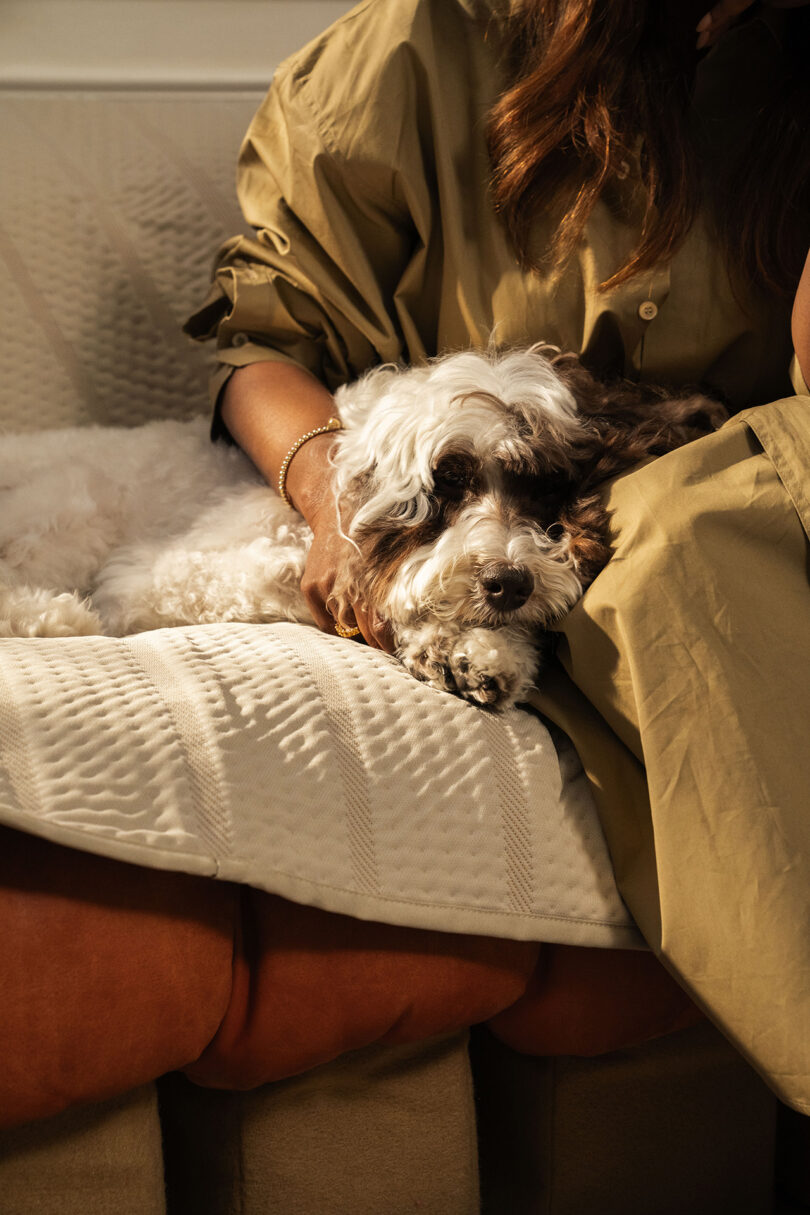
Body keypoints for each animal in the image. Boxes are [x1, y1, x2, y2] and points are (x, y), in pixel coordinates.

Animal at [0, 347, 723, 709]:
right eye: (449, 481)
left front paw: (481, 654)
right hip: (69, 510)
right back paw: (53, 616)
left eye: (546, 486)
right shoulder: (156, 577)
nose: (510, 583)